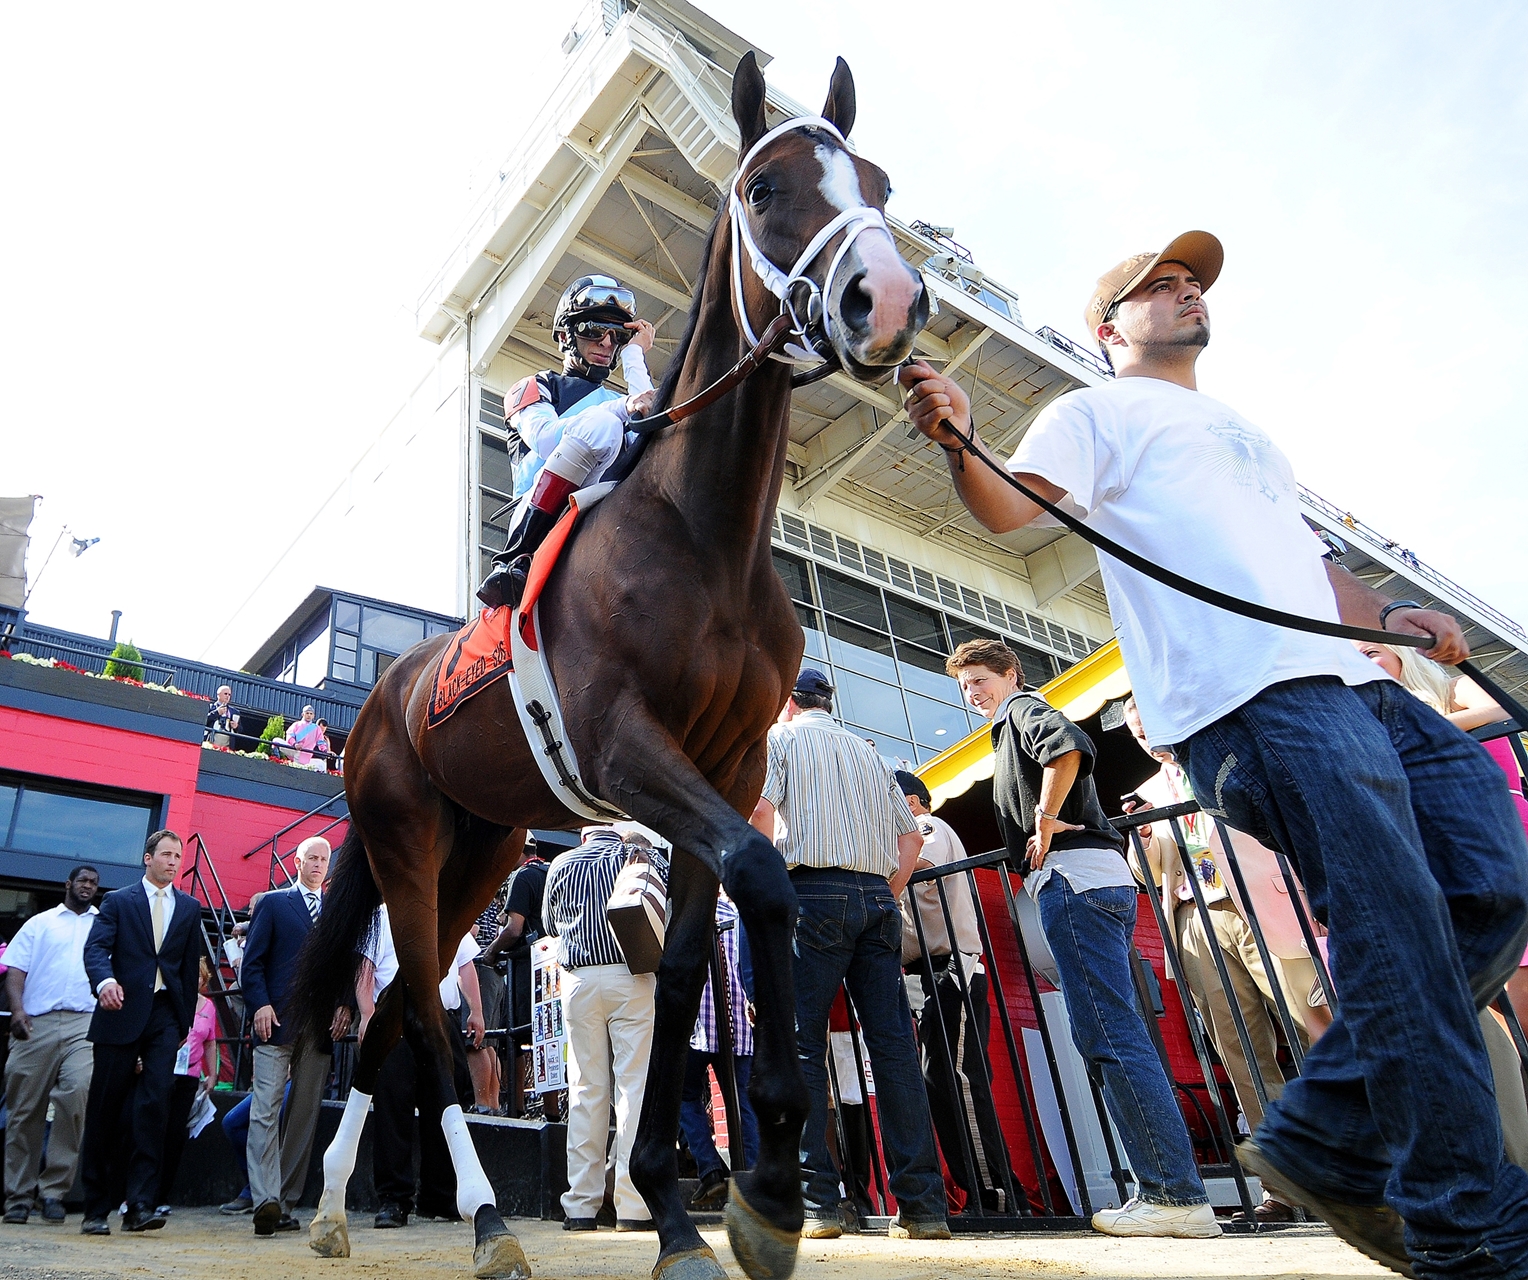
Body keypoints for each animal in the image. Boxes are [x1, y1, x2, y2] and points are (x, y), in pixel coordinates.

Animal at [290, 52, 922, 1280]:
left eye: (877, 181)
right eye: (766, 186)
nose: (890, 295)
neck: (702, 534)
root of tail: (382, 700)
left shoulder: (724, 768)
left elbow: (682, 967)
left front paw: (680, 1210)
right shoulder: (628, 749)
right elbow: (767, 875)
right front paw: (770, 1187)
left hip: (481, 846)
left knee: (389, 1008)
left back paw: (337, 1207)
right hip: (404, 835)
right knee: (426, 1011)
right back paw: (487, 1218)